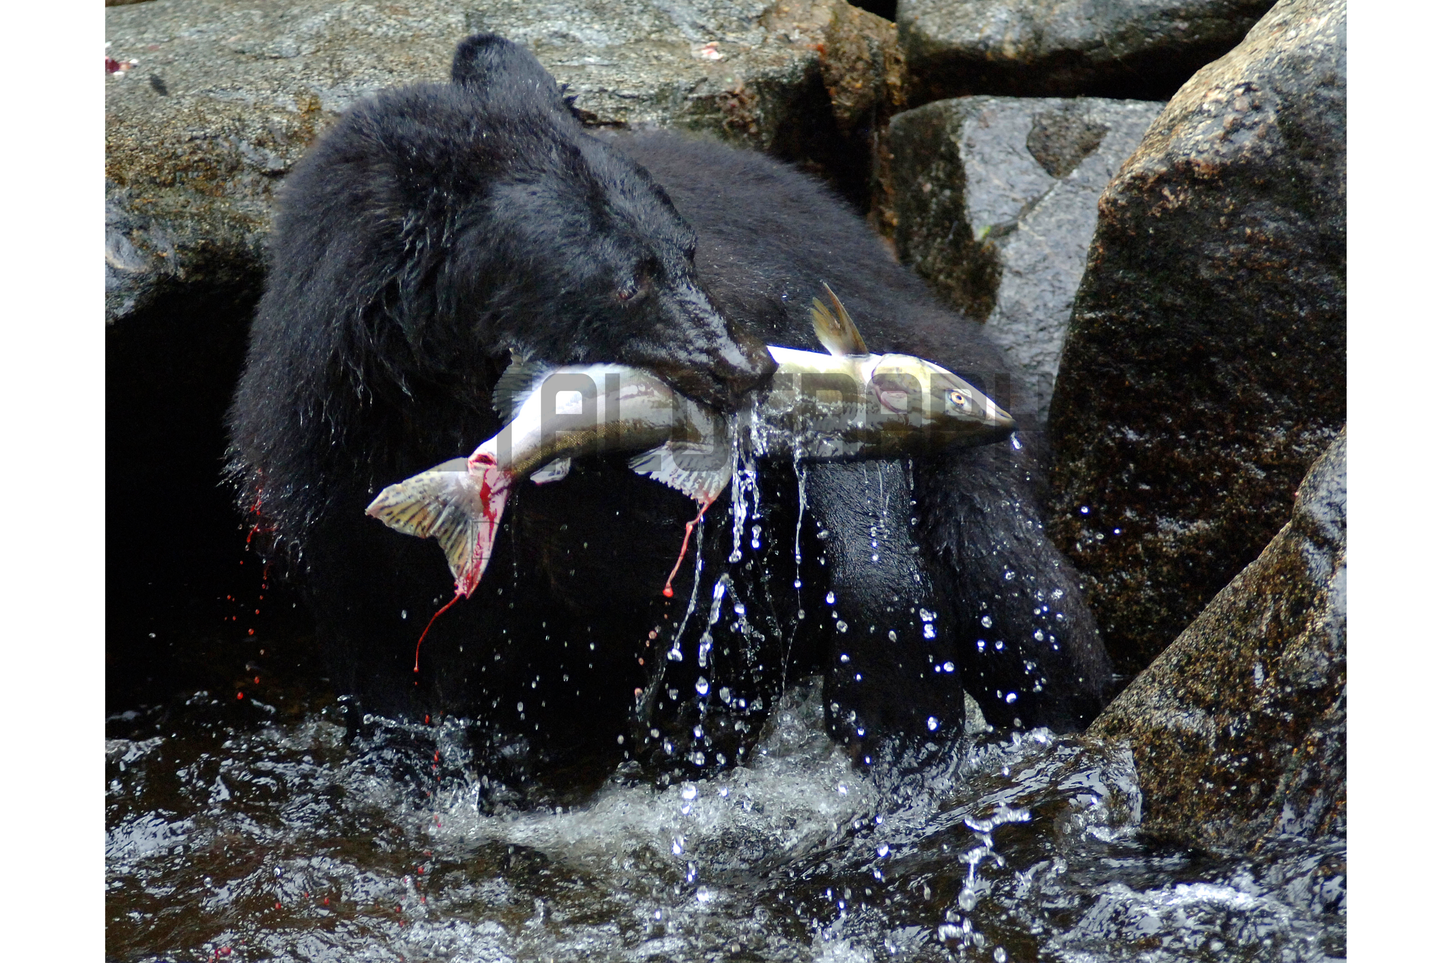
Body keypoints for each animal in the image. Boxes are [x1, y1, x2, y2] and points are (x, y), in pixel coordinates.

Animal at [227, 34, 1112, 780]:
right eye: (626, 281)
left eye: (683, 252)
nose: (748, 368)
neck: (450, 391)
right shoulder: (327, 455)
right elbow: (374, 634)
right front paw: (414, 754)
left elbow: (715, 578)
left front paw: (685, 734)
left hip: (971, 425)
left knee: (1014, 589)